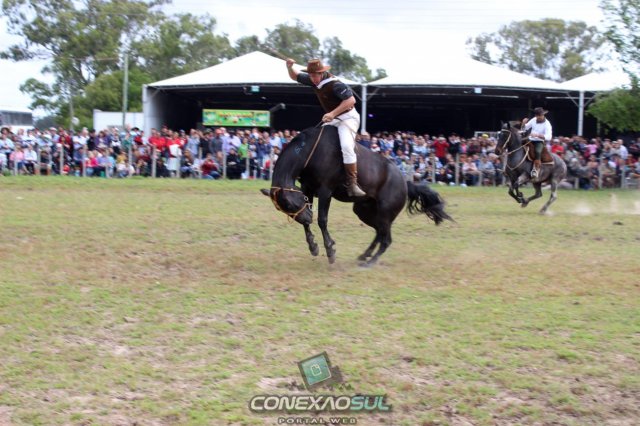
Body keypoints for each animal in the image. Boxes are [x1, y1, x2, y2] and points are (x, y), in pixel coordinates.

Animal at [261, 125, 453, 265]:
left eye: (290, 205)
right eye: (285, 209)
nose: (307, 217)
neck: (311, 151)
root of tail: (404, 183)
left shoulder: (325, 191)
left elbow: (322, 219)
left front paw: (330, 250)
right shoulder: (307, 189)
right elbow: (309, 221)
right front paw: (313, 246)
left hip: (385, 213)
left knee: (386, 239)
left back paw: (370, 262)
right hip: (364, 211)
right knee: (379, 232)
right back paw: (365, 255)